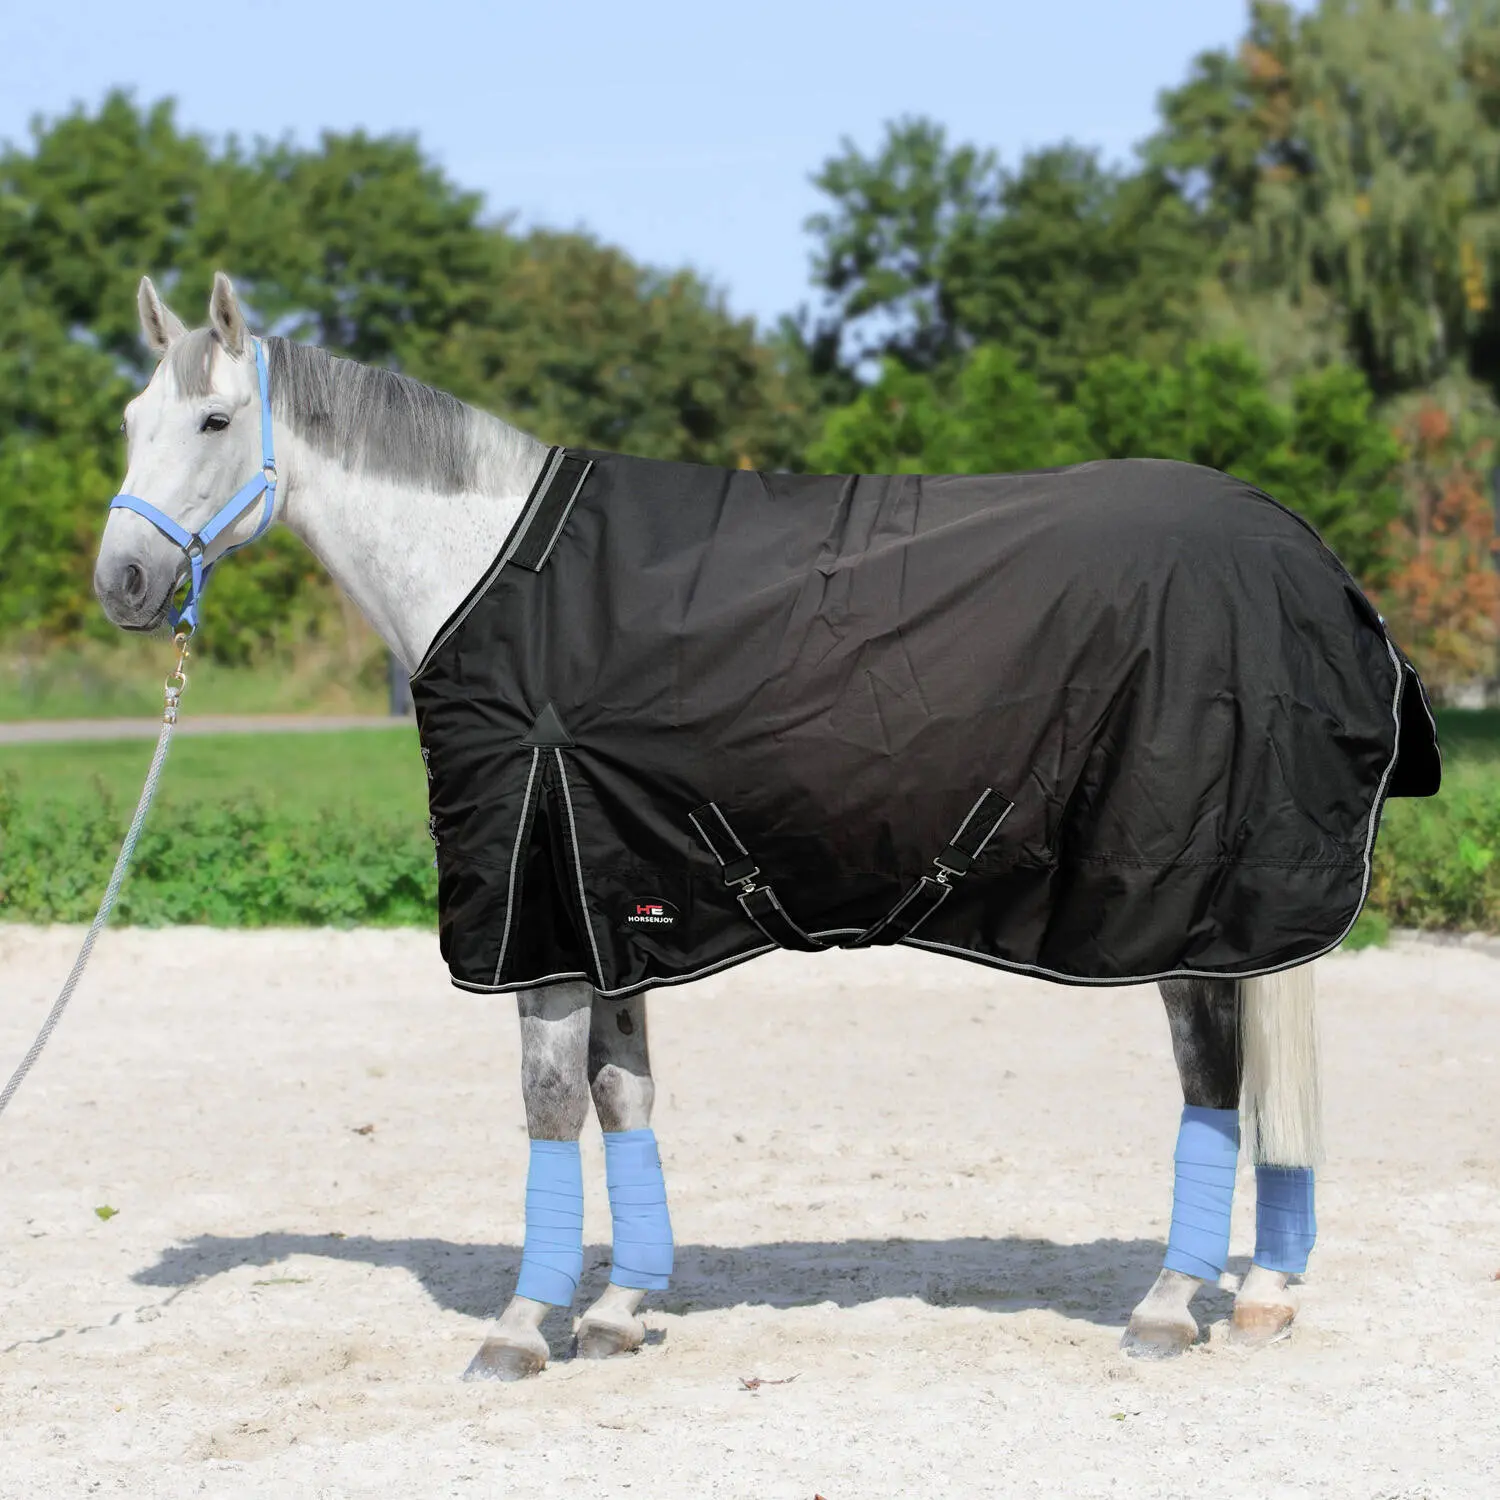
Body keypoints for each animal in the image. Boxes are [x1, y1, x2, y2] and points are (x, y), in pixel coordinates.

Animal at [93, 271, 1354, 1380]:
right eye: (131, 419)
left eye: (213, 417)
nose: (123, 581)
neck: (496, 576)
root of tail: (1294, 549)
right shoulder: (610, 903)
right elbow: (623, 1094)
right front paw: (617, 1311)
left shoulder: (541, 908)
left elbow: (551, 1106)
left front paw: (522, 1327)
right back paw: (1265, 1293)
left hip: (1184, 906)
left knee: (1214, 1080)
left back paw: (1170, 1305)